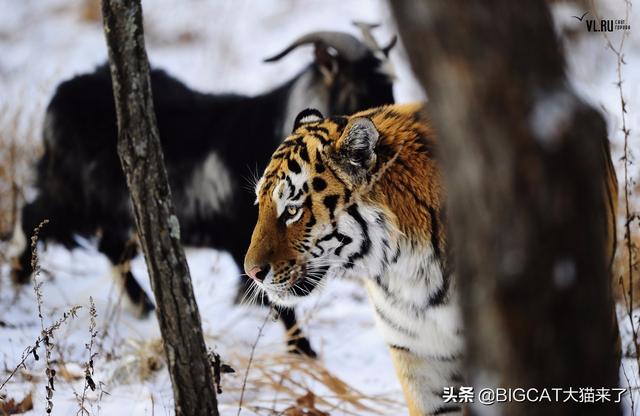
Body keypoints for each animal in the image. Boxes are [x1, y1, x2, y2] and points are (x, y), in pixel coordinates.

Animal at [10, 29, 396, 356]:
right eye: (360, 89)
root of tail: (60, 97)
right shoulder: (253, 239)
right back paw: (17, 284)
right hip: (74, 196)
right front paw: (305, 352)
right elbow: (276, 298)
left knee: (110, 246)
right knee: (33, 215)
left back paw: (142, 305)